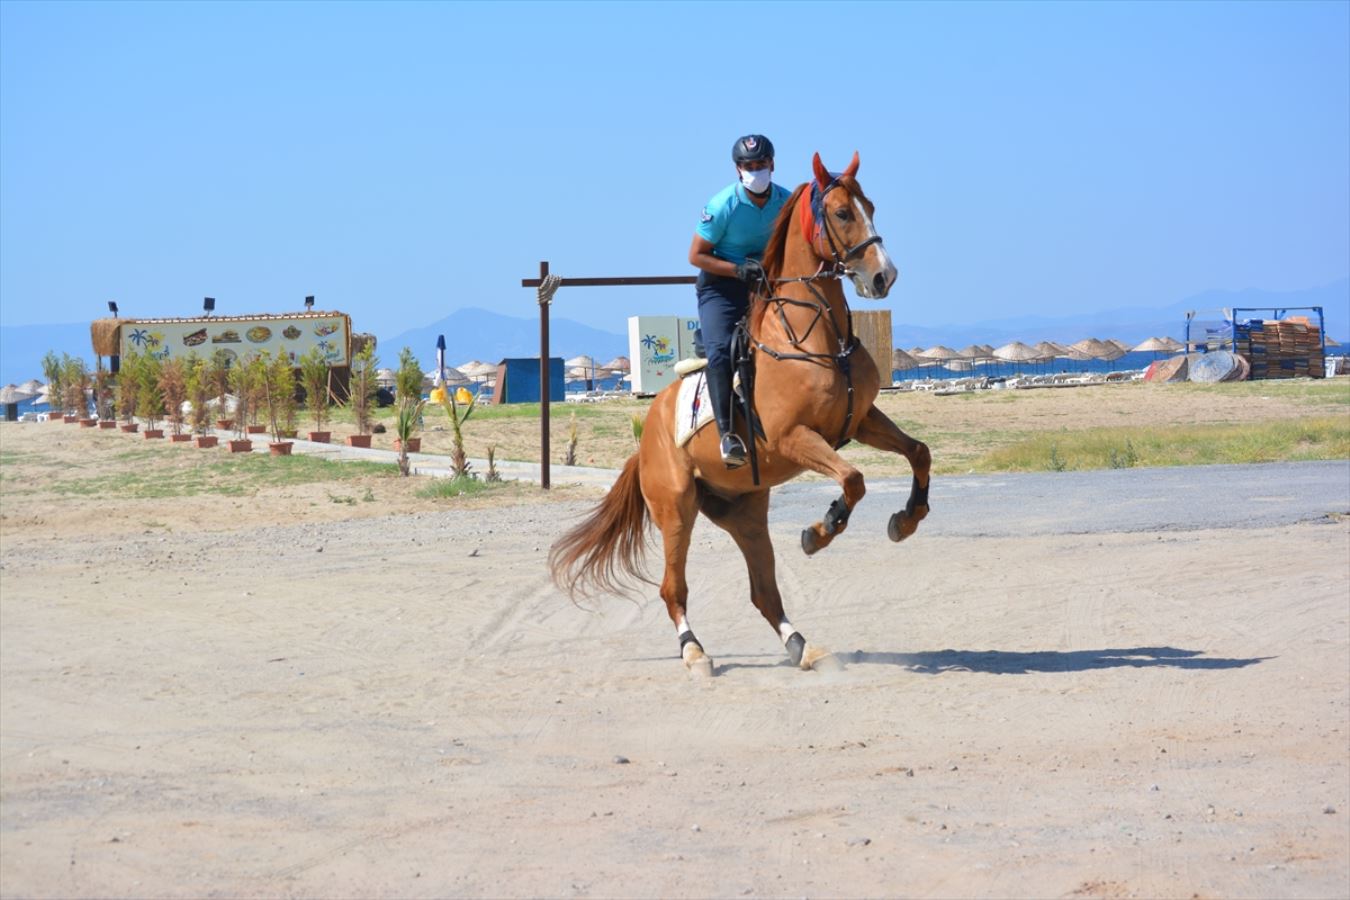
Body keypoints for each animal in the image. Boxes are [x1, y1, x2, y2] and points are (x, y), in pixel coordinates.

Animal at [548, 153, 928, 674]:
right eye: (842, 213)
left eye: (870, 207)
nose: (883, 276)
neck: (814, 335)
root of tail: (646, 441)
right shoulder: (794, 436)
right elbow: (853, 479)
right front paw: (821, 530)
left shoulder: (860, 419)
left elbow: (918, 453)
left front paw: (906, 520)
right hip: (677, 509)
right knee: (673, 588)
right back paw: (695, 651)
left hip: (744, 512)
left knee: (763, 591)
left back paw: (803, 646)